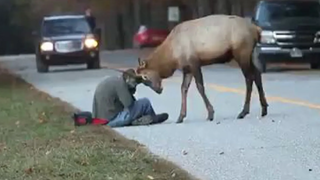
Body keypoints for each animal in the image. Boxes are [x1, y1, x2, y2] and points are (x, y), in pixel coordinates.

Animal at [135, 14, 268, 124]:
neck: (172, 57)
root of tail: (256, 30)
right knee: (257, 74)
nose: (158, 90)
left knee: (249, 78)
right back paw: (264, 109)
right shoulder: (187, 69)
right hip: (250, 53)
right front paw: (180, 116)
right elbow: (183, 88)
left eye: (145, 76)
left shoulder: (194, 63)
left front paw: (210, 114)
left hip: (241, 52)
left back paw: (243, 112)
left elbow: (200, 87)